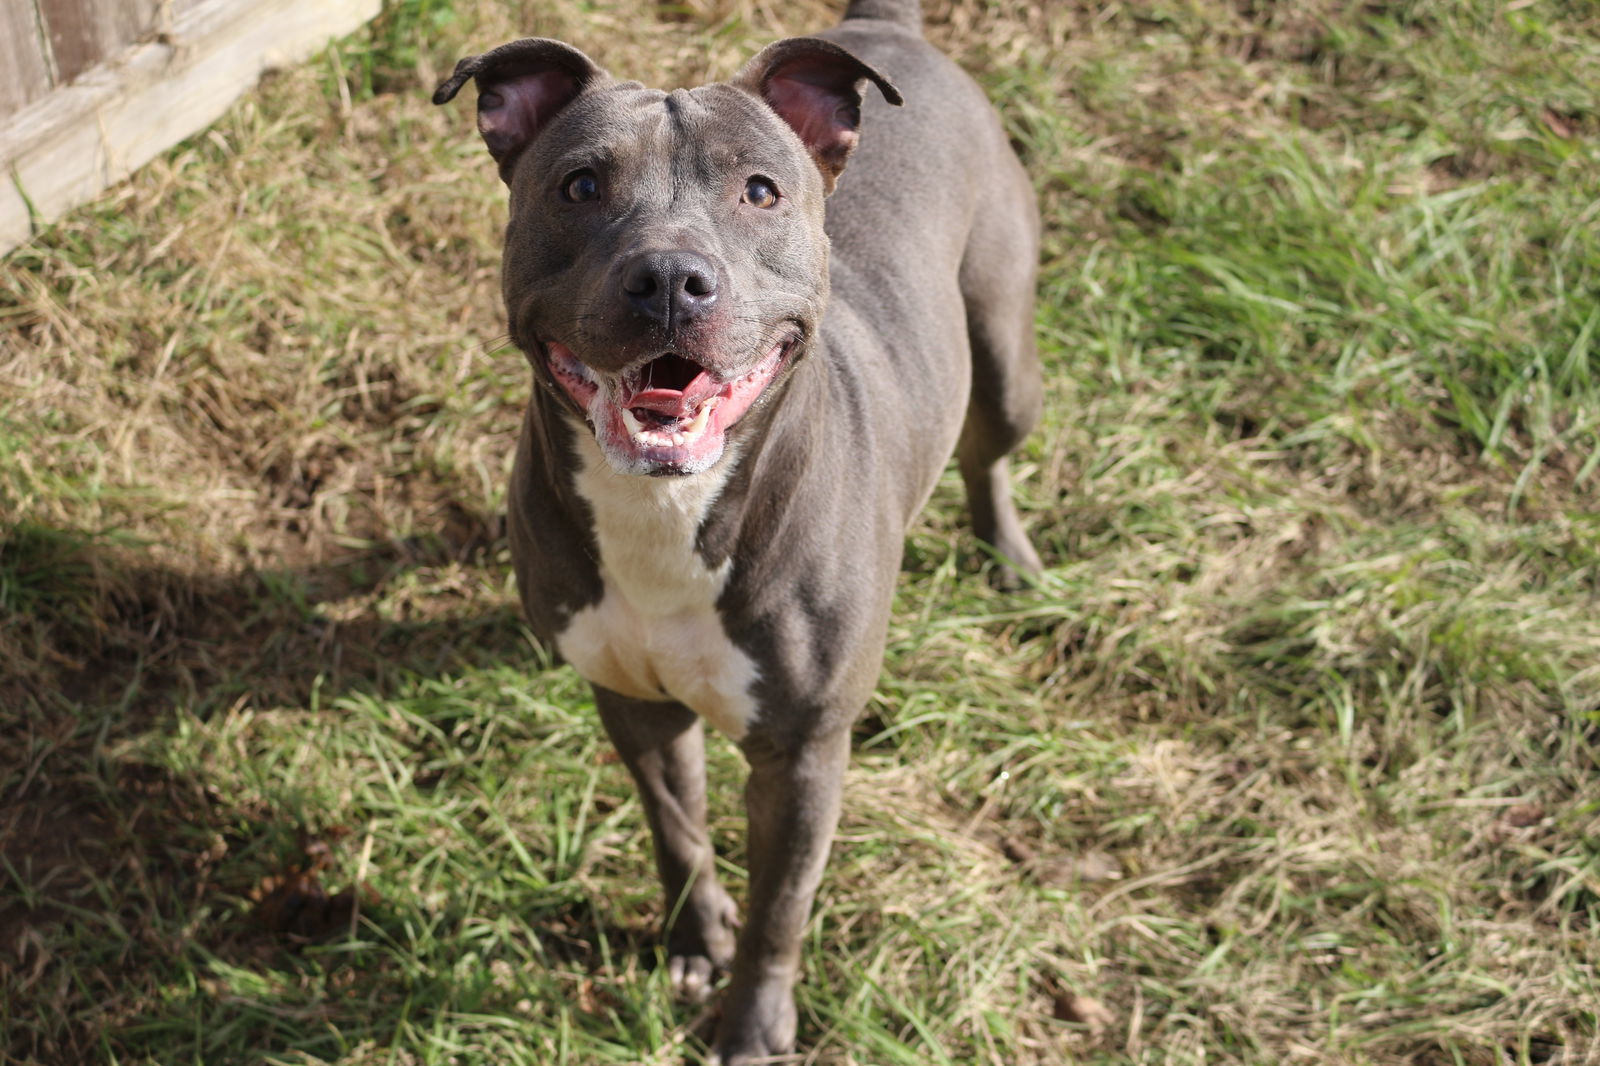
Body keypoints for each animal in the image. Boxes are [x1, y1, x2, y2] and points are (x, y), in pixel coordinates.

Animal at [432, 0, 1043, 1056]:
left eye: (759, 191)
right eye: (580, 184)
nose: (671, 278)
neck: (667, 513)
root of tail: (885, 27)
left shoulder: (802, 756)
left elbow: (781, 908)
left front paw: (755, 1022)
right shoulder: (633, 703)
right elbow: (676, 832)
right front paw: (693, 940)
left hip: (1003, 353)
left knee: (989, 449)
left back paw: (1007, 552)